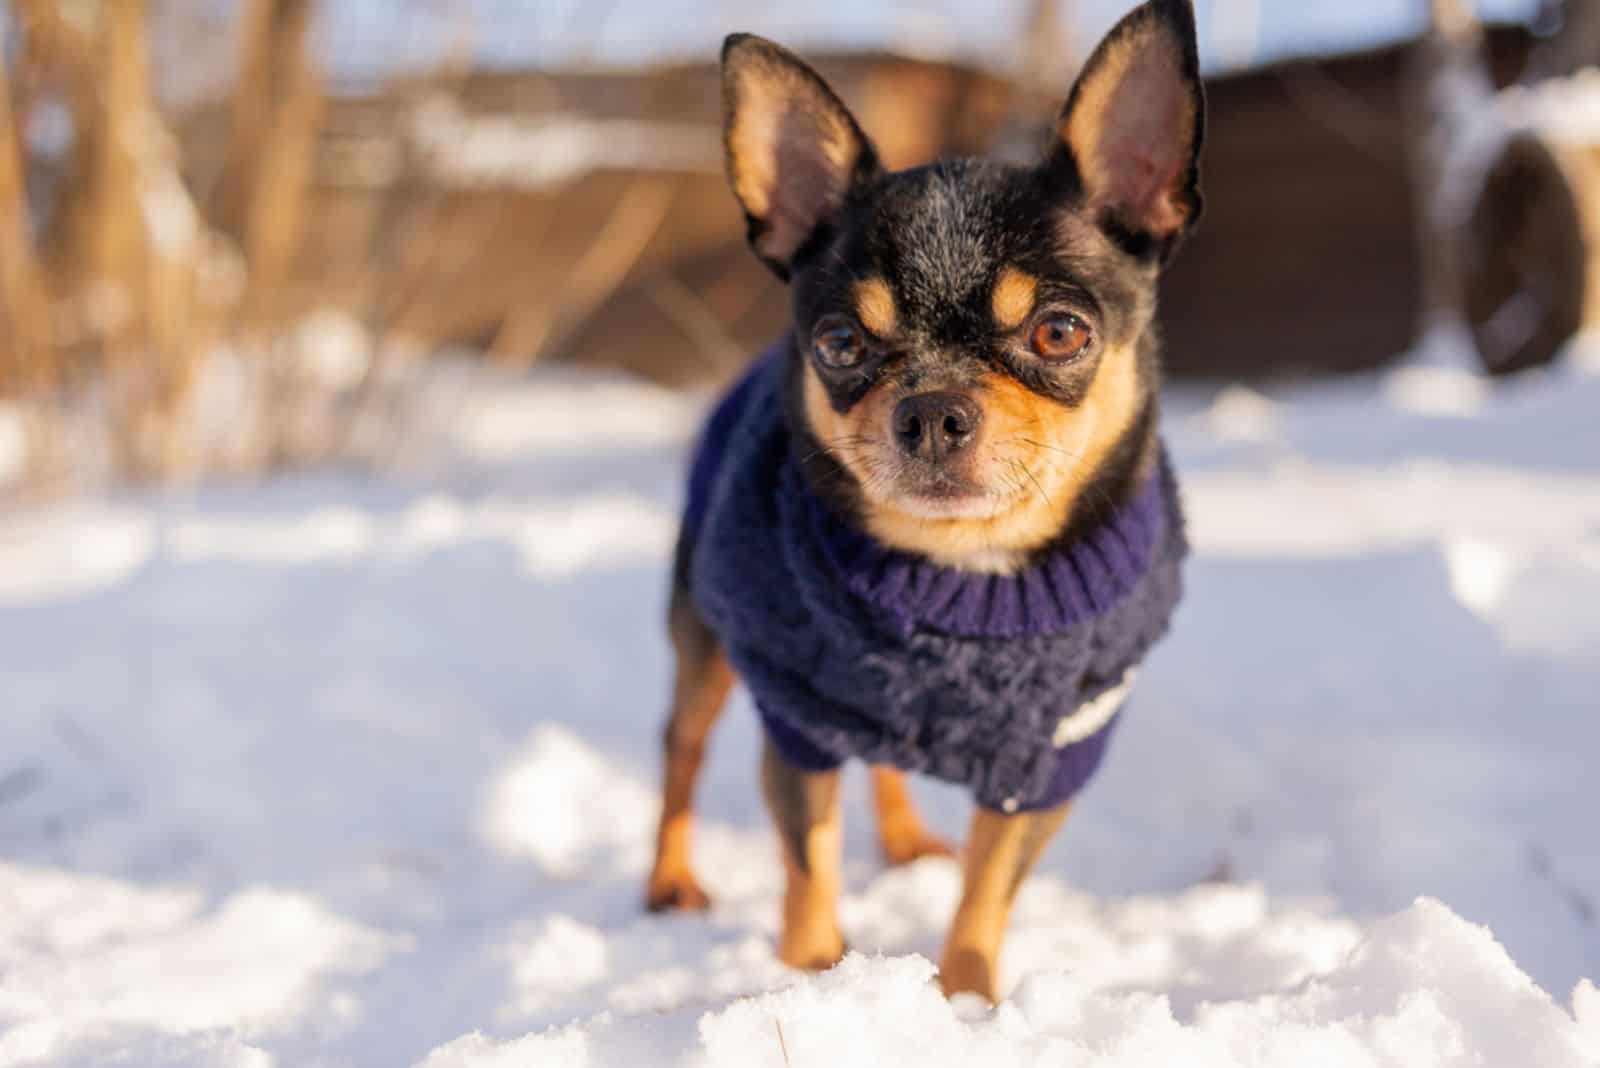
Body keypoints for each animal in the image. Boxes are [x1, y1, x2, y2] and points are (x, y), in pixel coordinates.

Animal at [649, 0, 1203, 1004]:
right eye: (838, 342)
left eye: (1060, 331)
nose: (934, 409)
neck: (962, 571)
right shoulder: (798, 718)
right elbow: (809, 862)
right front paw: (814, 975)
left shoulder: (1048, 757)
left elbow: (989, 885)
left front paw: (968, 998)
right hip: (704, 638)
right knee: (682, 748)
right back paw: (668, 879)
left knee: (882, 764)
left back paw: (906, 840)